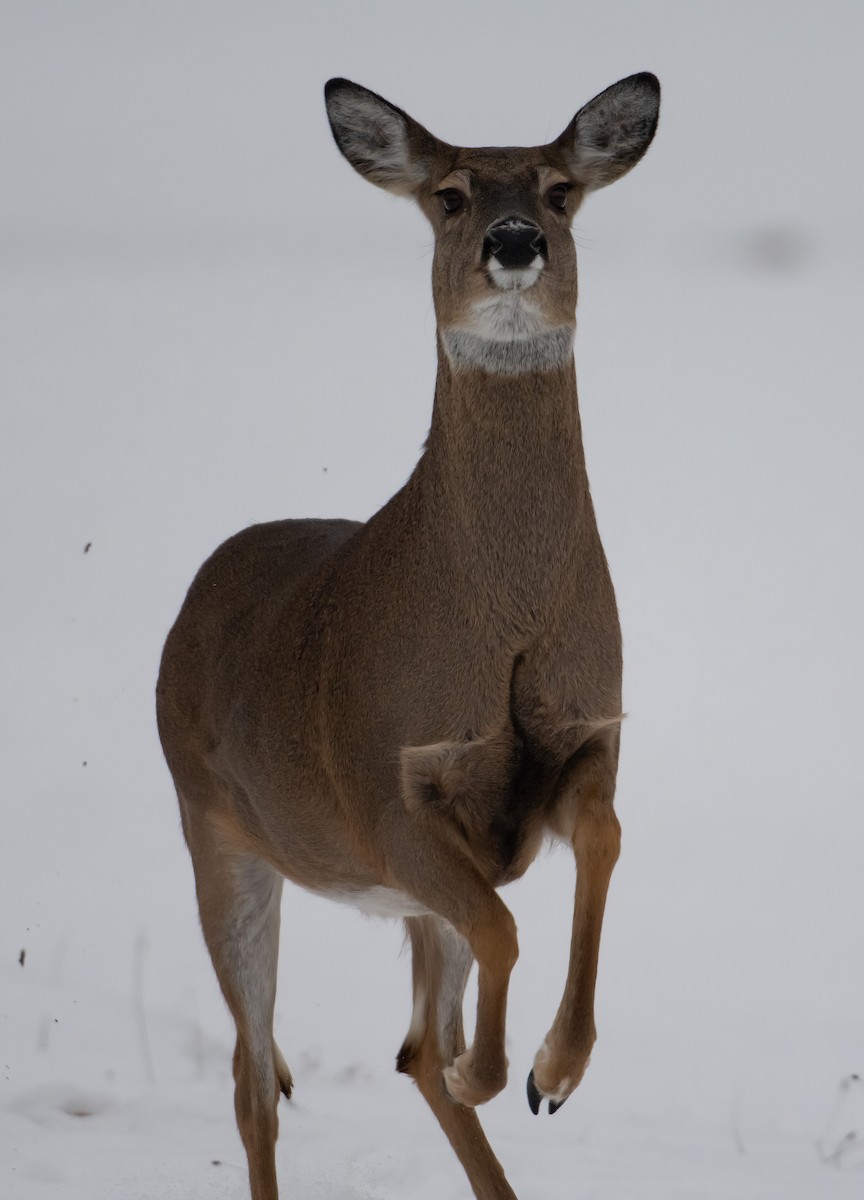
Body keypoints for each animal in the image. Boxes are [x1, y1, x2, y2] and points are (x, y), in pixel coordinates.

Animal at [156, 71, 660, 1200]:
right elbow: (505, 928)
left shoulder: (587, 739)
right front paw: (512, 1071)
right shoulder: (389, 794)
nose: (514, 241)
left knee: (412, 1044)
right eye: (450, 195)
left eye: (561, 191)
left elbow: (601, 844)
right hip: (218, 832)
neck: (502, 622)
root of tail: (191, 600)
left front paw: (553, 1072)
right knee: (255, 1081)